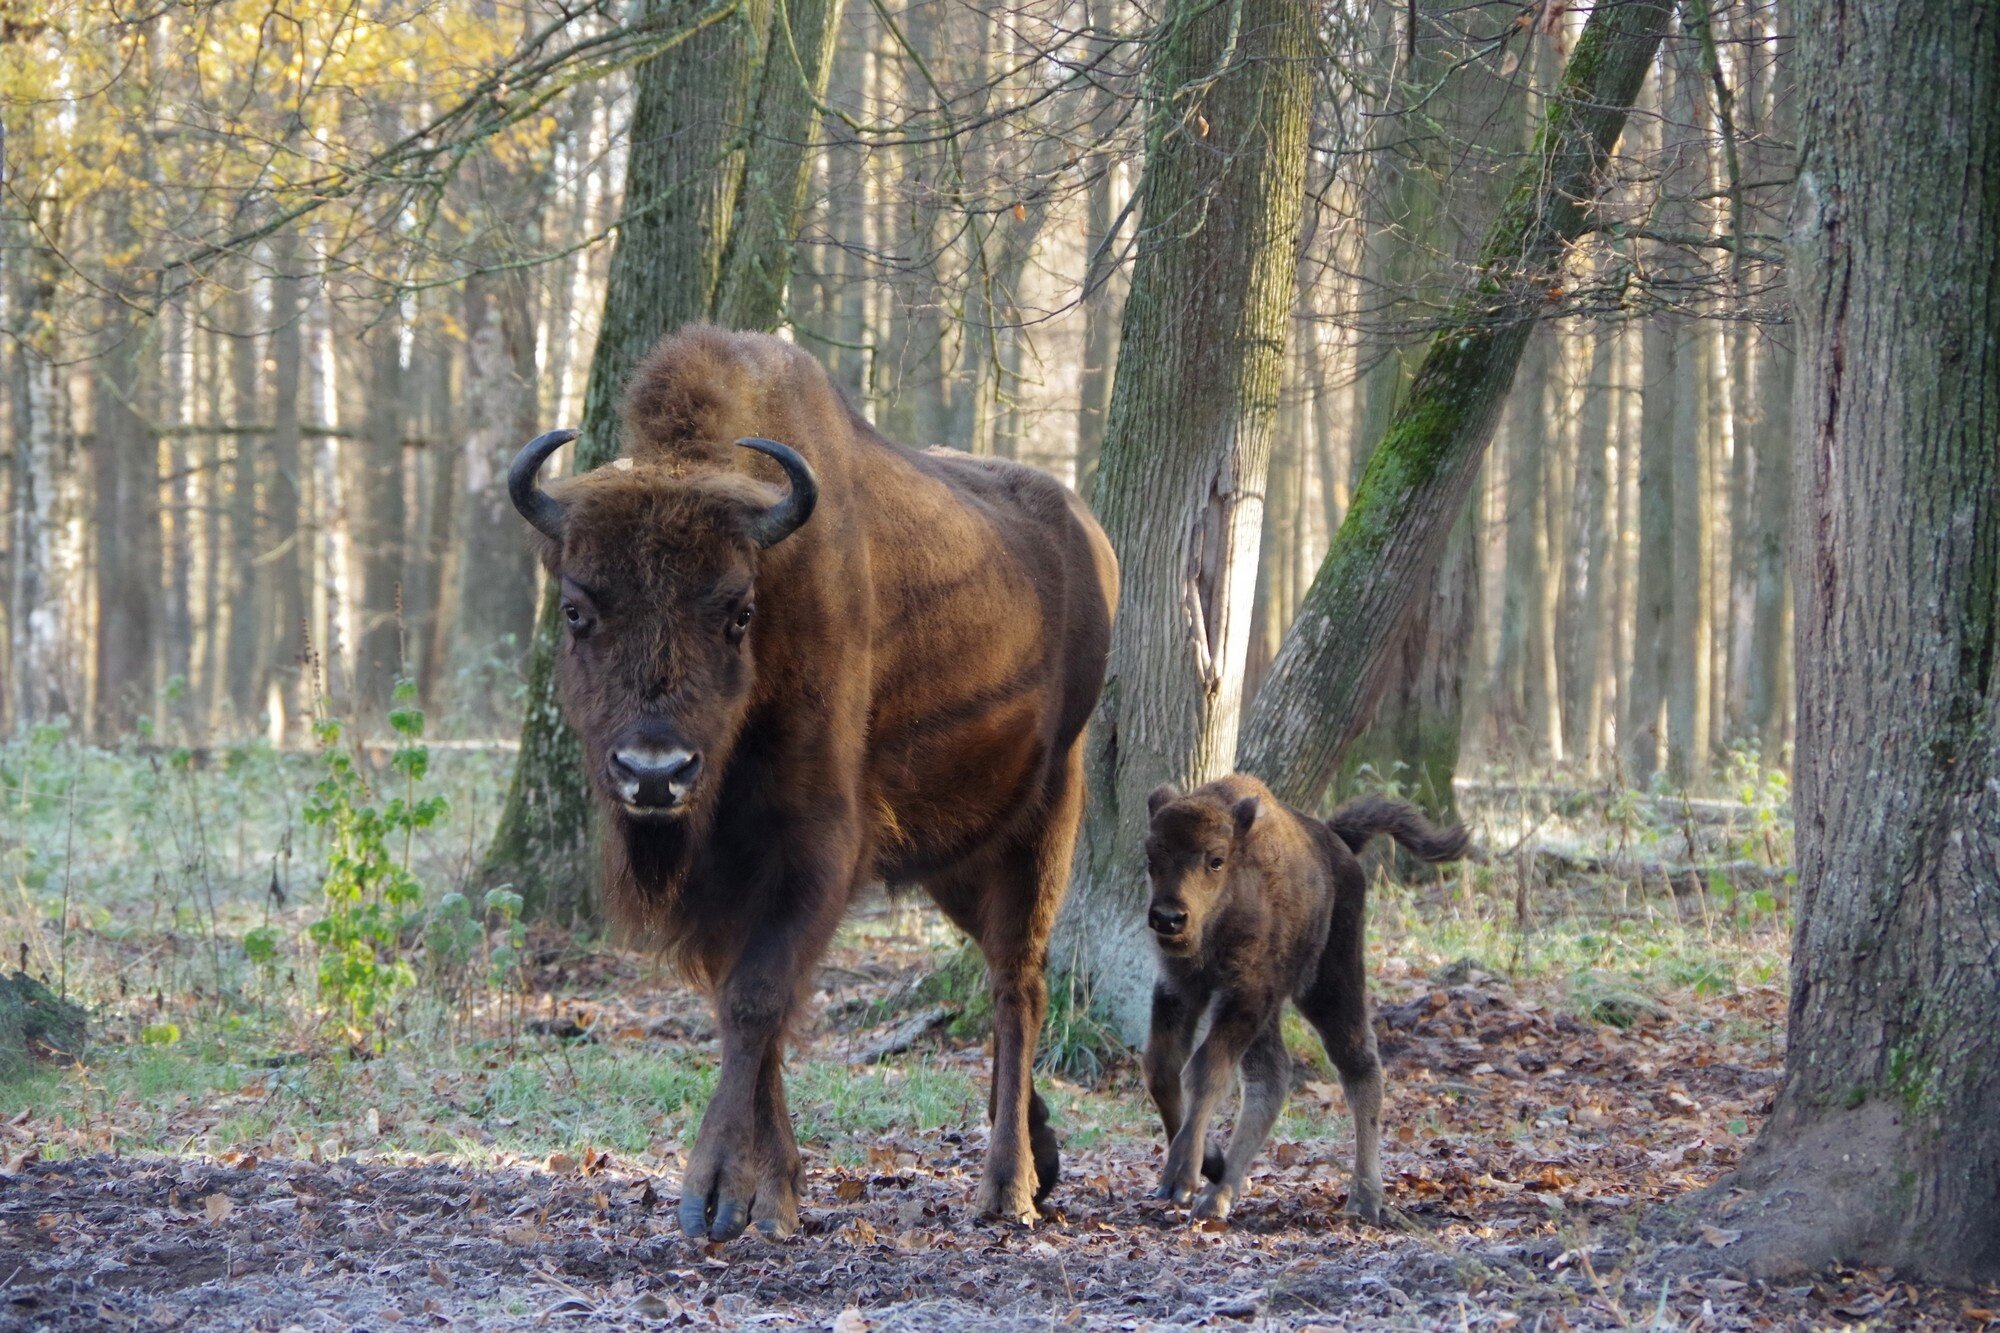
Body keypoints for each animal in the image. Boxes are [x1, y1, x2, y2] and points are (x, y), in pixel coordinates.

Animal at [508, 326, 1120, 1240]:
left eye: (738, 611)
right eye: (579, 609)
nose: (654, 772)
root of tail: (1086, 534)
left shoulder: (816, 848)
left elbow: (759, 1000)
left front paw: (718, 1193)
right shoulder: (725, 879)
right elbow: (747, 1006)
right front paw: (777, 1192)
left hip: (1045, 814)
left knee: (1019, 982)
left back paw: (1007, 1189)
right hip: (953, 856)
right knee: (996, 965)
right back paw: (1041, 1162)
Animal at [1144, 772, 1472, 1216]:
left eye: (1215, 859)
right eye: (1151, 857)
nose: (1168, 919)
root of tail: (1335, 841)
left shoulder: (1245, 996)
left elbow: (1205, 1071)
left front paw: (1181, 1177)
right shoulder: (1178, 991)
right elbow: (1161, 1070)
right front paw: (1209, 1162)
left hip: (1331, 984)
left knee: (1359, 1068)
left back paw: (1364, 1198)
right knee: (1272, 1078)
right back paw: (1220, 1193)